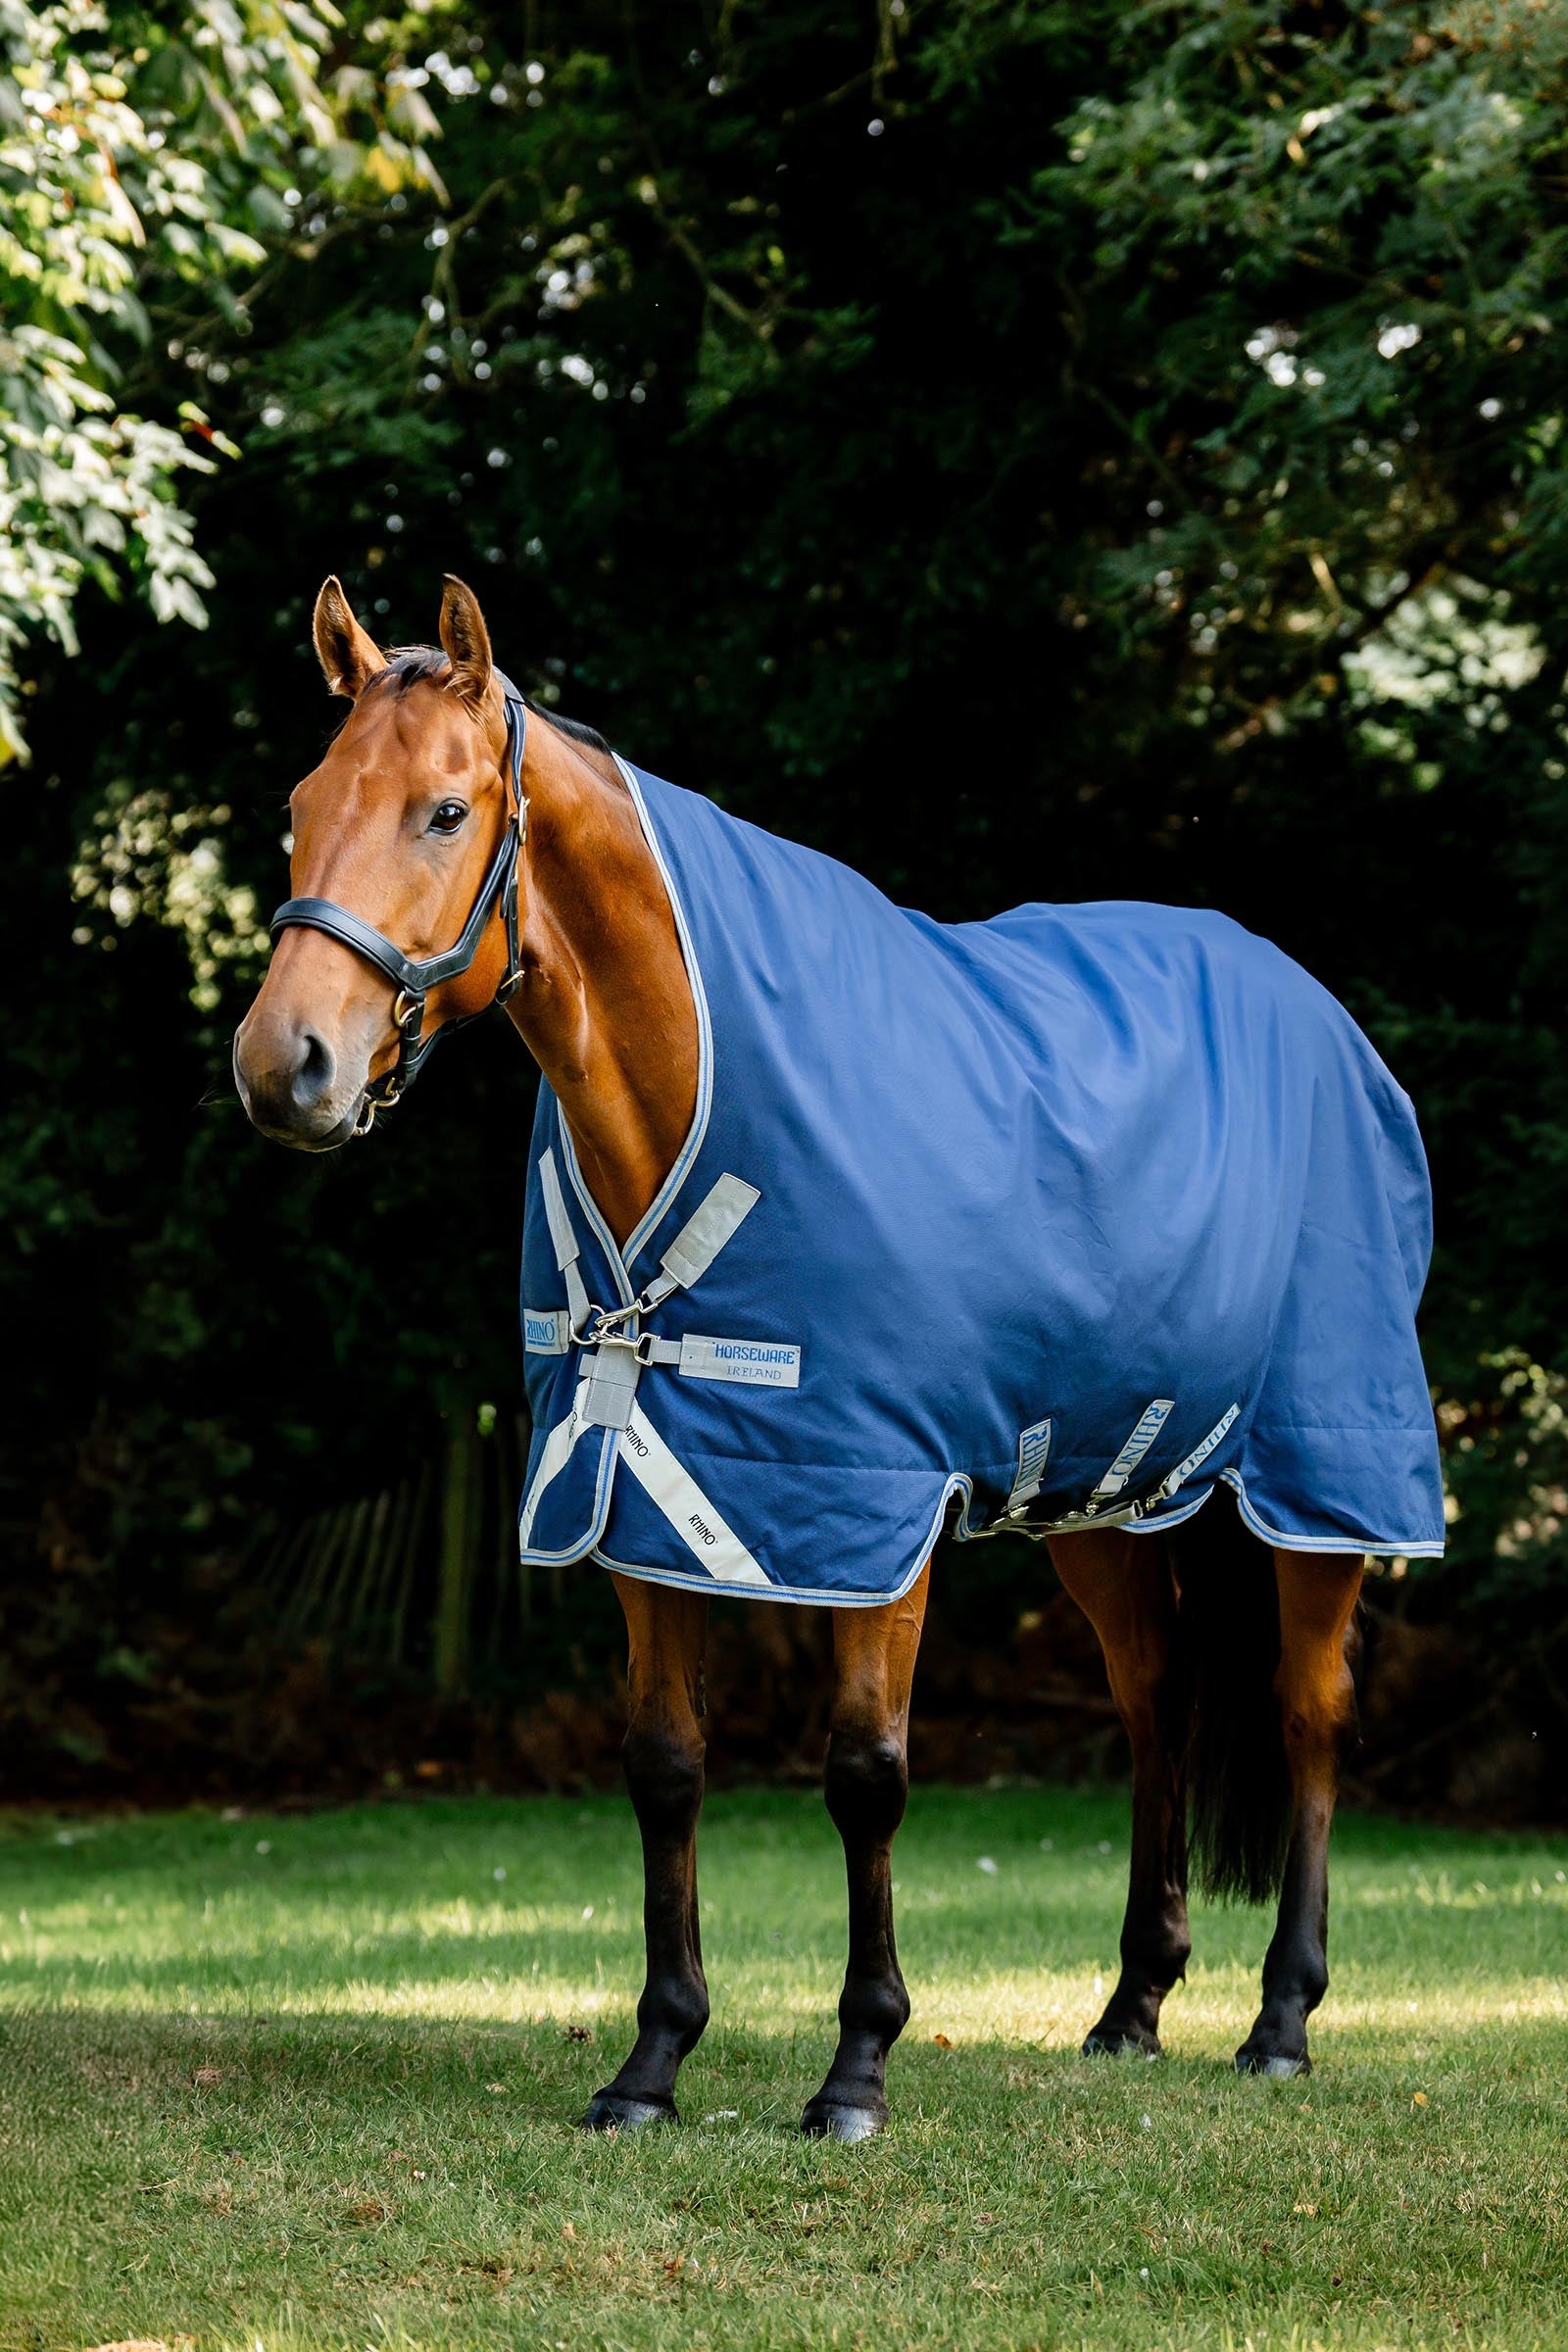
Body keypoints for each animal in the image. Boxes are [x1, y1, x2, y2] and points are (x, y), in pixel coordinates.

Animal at [234, 573, 1442, 2141]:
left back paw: (1282, 2018)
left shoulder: (880, 1506)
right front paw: (653, 2062)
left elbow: (867, 1774)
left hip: (1322, 1475)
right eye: (302, 805)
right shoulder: (637, 1490)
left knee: (1307, 1715)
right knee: (1157, 1698)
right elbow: (666, 1770)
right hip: (1104, 1496)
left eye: (445, 813)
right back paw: (1130, 2006)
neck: (699, 1079)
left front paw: (858, 2065)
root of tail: (1320, 1012)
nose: (285, 1067)